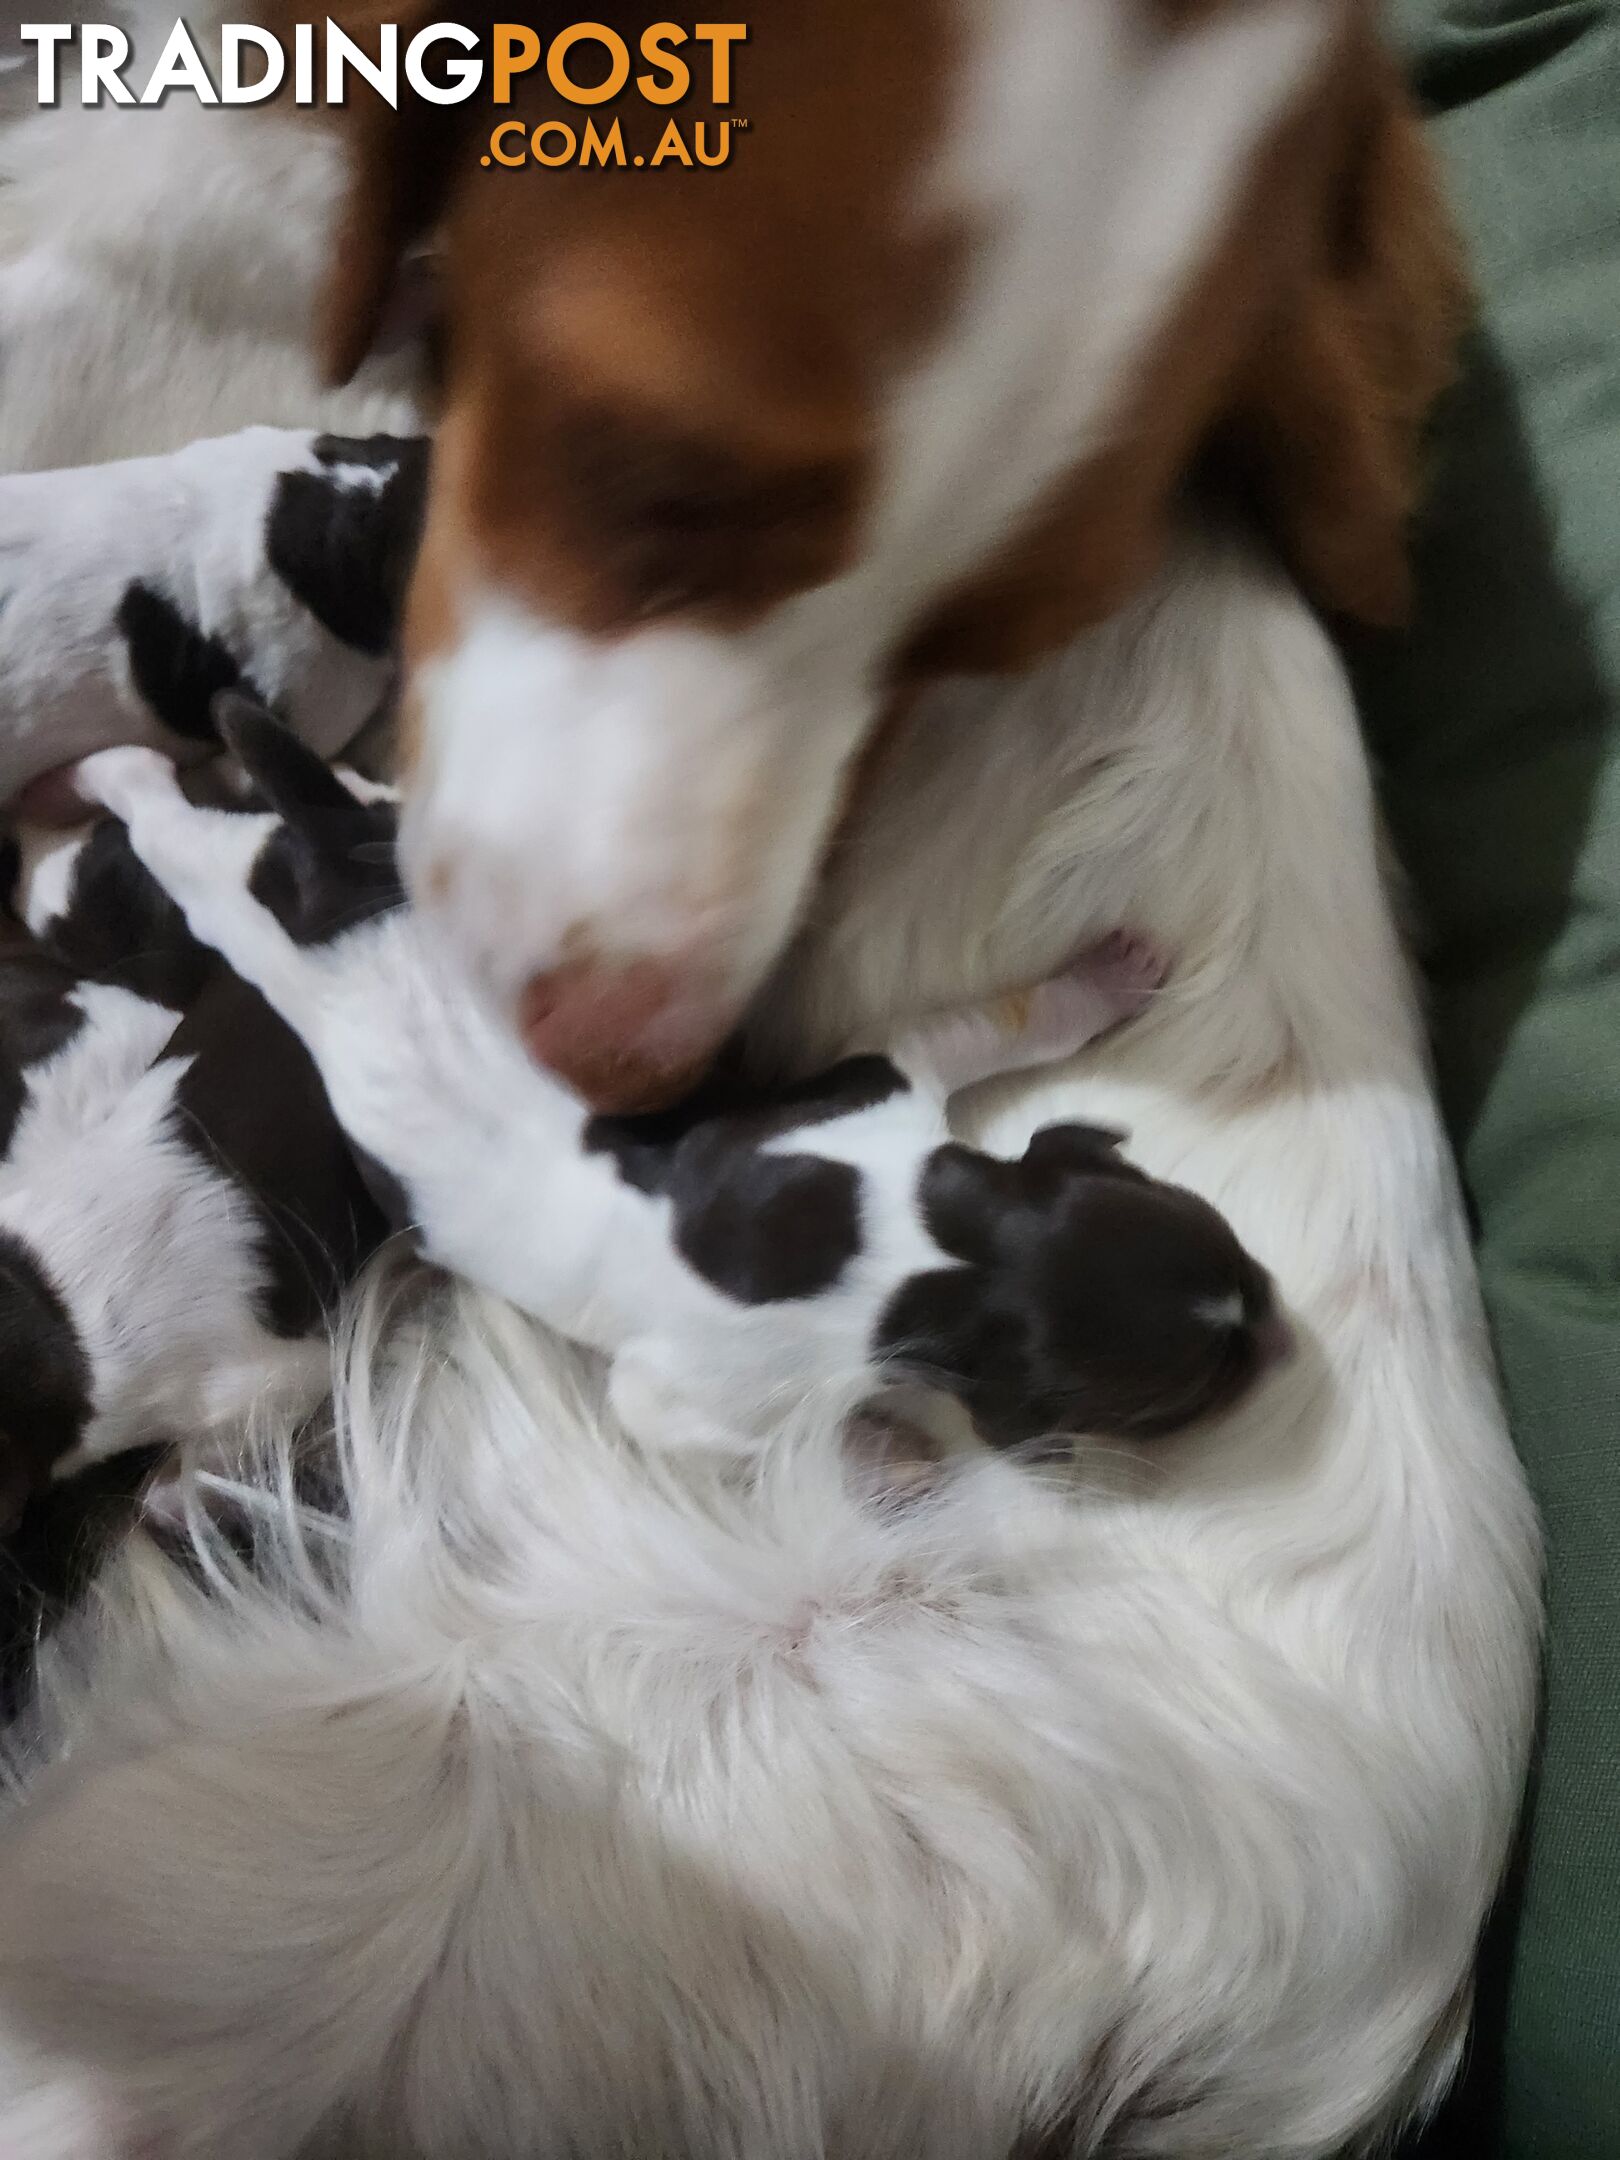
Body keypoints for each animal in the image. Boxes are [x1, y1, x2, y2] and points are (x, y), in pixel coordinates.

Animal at [79, 717, 1296, 1460]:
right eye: (1193, 1386)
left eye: (1223, 1233)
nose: (1282, 1335)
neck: (936, 1253)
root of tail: (340, 881)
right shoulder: (693, 1392)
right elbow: (724, 1421)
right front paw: (885, 1448)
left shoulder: (888, 1091)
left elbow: (991, 1019)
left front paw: (1106, 977)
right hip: (237, 901)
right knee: (178, 836)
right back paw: (110, 773)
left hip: (373, 838)